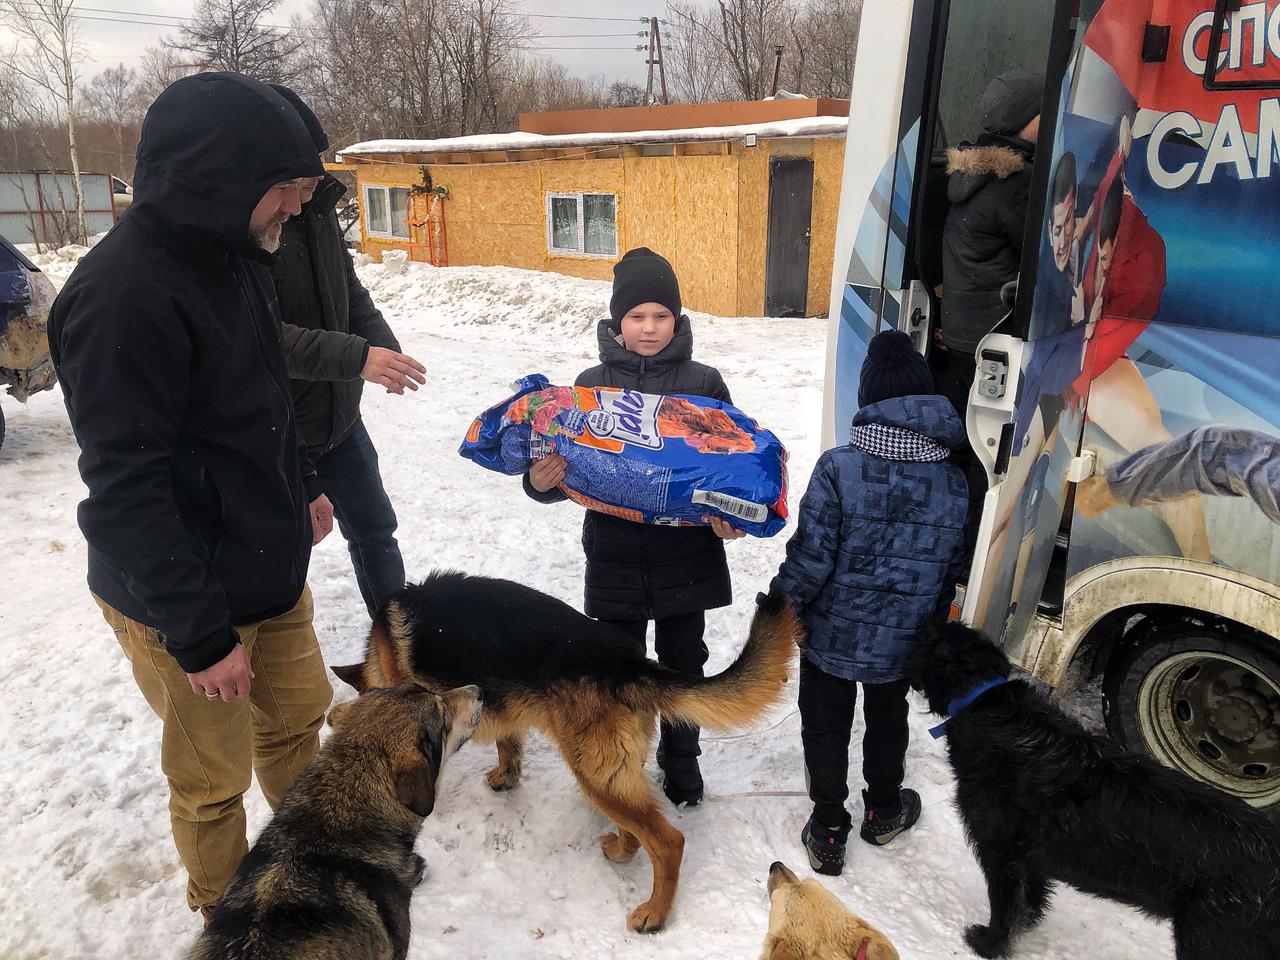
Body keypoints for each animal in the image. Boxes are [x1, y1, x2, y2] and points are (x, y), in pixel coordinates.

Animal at [332, 570, 798, 931]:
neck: (379, 653)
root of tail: (628, 663)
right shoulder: (503, 706)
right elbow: (508, 742)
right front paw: (506, 776)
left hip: (594, 774)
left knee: (668, 841)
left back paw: (655, 913)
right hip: (612, 773)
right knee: (637, 825)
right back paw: (620, 850)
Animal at [906, 624, 1280, 960]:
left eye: (926, 640)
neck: (988, 703)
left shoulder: (1001, 851)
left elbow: (1005, 906)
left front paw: (989, 944)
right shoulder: (1029, 855)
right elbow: (1031, 896)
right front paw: (1028, 923)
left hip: (1214, 939)